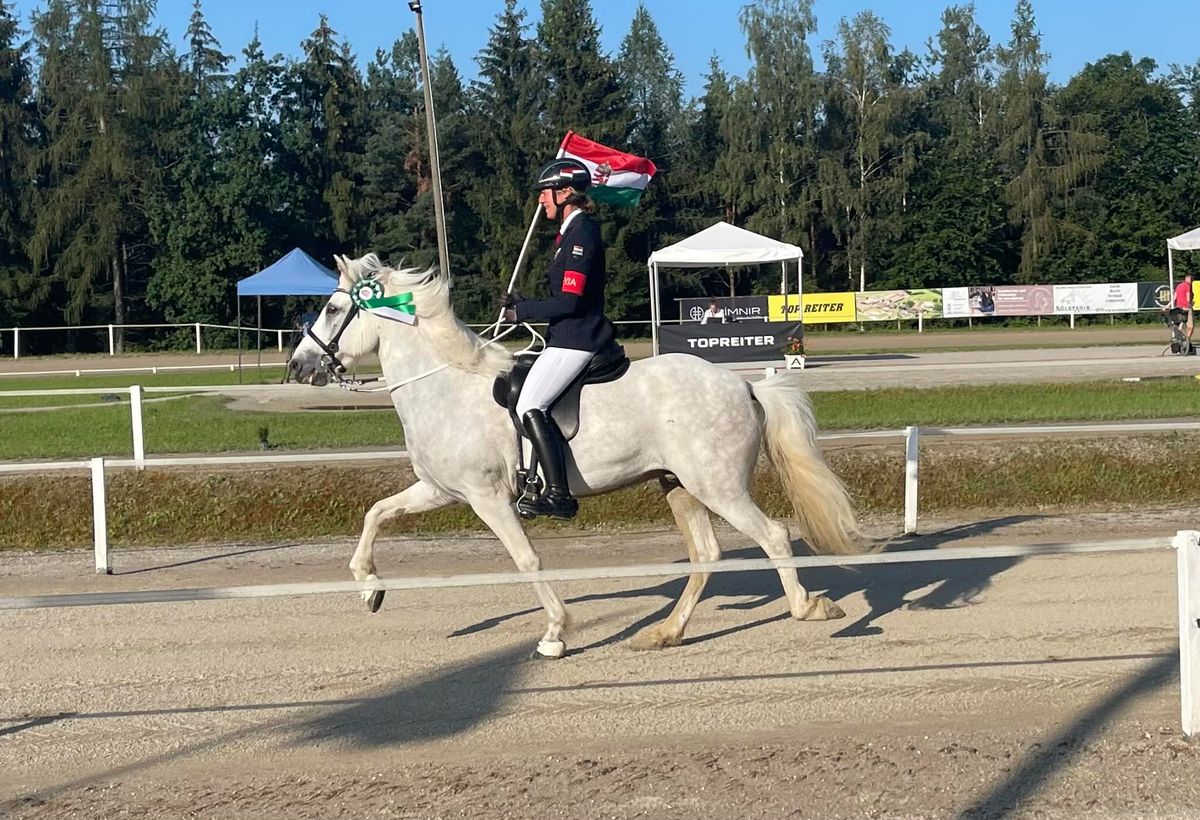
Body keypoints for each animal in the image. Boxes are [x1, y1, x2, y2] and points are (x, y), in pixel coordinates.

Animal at [294, 253, 868, 657]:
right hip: (679, 486)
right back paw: (665, 633)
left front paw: (555, 633)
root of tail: (746, 386)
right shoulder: (441, 490)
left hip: (718, 486)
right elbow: (375, 513)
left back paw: (809, 609)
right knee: (707, 556)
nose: (299, 366)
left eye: (332, 308)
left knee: (773, 536)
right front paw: (369, 589)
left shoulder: (487, 498)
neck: (446, 384)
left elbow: (526, 559)